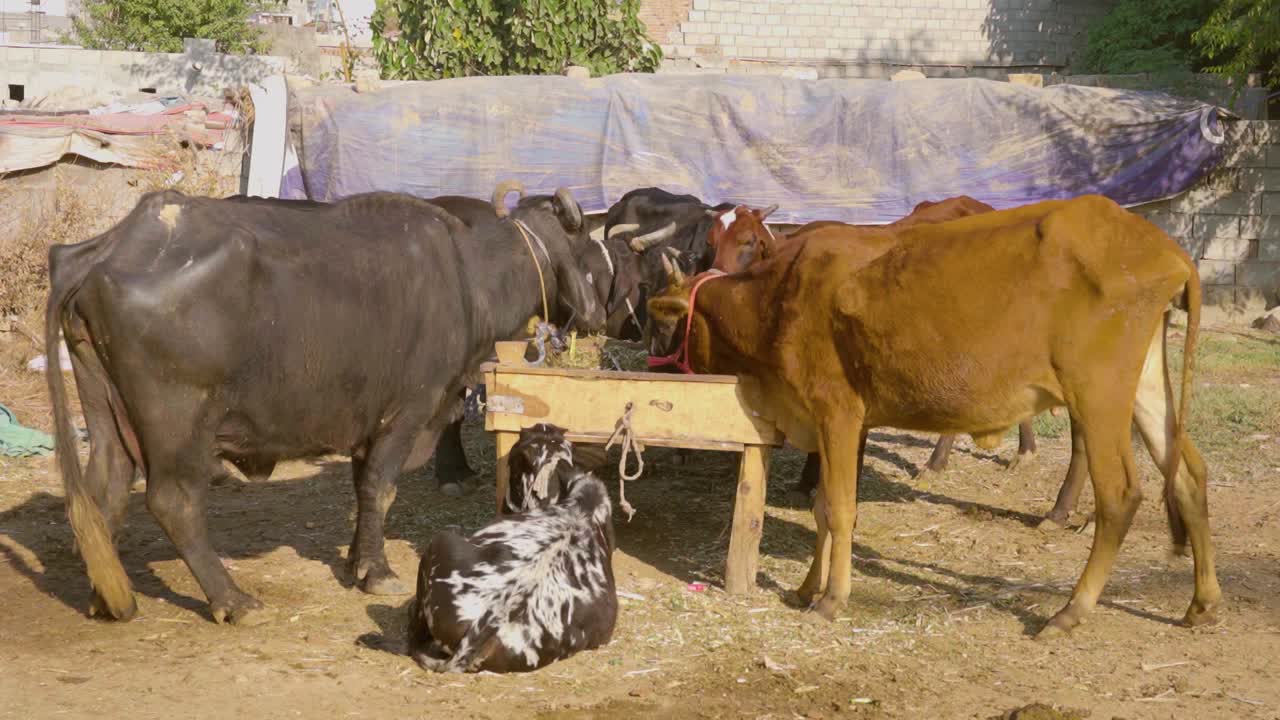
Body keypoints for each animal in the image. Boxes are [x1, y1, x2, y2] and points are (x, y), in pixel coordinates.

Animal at [45, 184, 606, 625]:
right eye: (589, 252)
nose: (601, 316)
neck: (469, 279)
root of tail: (102, 254)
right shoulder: (408, 412)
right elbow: (381, 488)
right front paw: (377, 571)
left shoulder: (367, 424)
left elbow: (363, 489)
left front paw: (358, 559)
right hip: (178, 424)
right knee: (172, 502)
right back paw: (233, 600)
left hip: (107, 413)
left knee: (103, 491)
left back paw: (107, 595)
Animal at [646, 195, 1219, 638]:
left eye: (666, 328)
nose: (657, 366)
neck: (777, 294)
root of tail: (1166, 248)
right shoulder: (845, 424)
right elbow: (825, 509)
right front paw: (809, 587)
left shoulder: (836, 411)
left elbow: (841, 509)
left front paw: (831, 600)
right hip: (1145, 389)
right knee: (1188, 474)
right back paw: (1202, 602)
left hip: (1097, 396)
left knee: (1120, 495)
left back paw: (1071, 609)